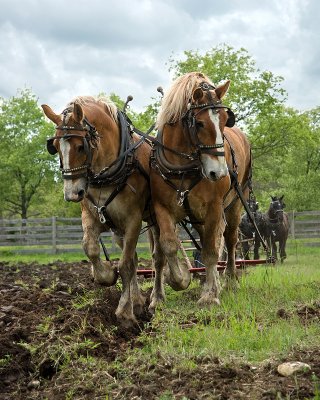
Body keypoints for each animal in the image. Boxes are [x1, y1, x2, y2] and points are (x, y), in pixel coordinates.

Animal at [41, 97, 161, 328]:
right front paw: (106, 275)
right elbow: (91, 248)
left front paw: (125, 313)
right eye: (56, 148)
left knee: (160, 256)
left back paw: (157, 300)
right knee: (137, 258)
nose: (72, 194)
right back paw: (138, 301)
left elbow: (125, 265)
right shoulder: (92, 217)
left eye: (80, 147)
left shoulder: (133, 221)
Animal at [150, 71, 252, 306]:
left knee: (230, 239)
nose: (219, 173)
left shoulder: (214, 206)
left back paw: (229, 280)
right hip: (197, 216)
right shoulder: (161, 207)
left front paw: (210, 296)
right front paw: (178, 281)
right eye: (199, 123)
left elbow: (212, 250)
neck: (183, 167)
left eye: (224, 120)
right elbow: (169, 244)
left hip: (235, 204)